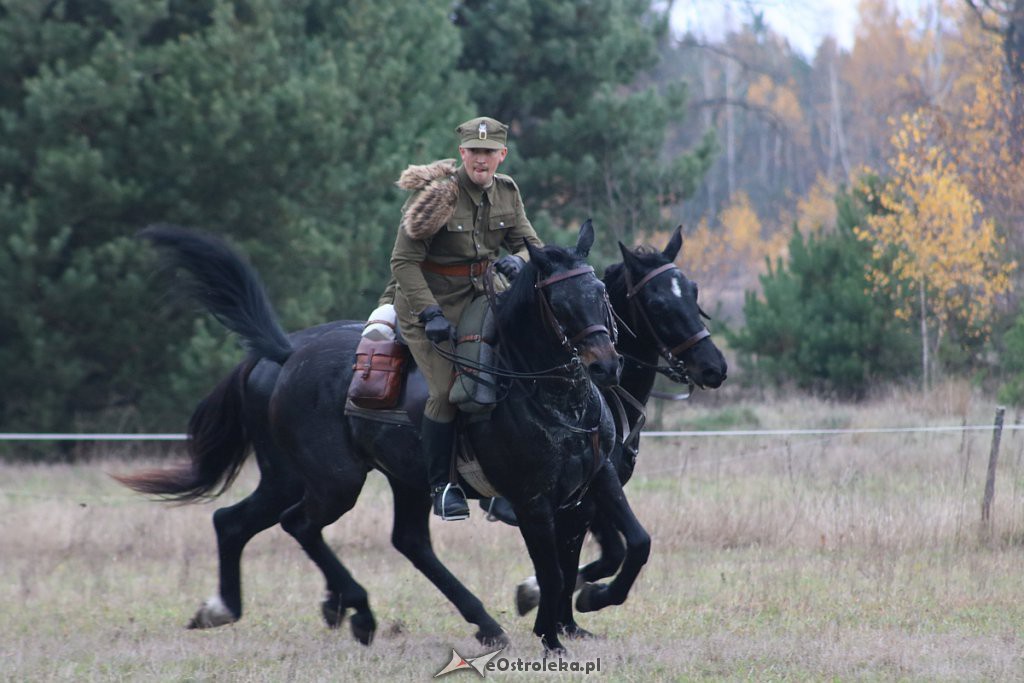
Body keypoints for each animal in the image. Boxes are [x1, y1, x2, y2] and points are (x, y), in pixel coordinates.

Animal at [117, 222, 638, 655]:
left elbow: (633, 543)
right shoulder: (532, 500)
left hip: (350, 479)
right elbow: (553, 569)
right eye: (560, 303)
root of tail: (287, 355)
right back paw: (360, 612)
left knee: (249, 523)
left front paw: (592, 601)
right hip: (334, 481)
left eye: (599, 292)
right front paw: (553, 632)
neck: (550, 397)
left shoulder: (595, 482)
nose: (606, 365)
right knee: (297, 524)